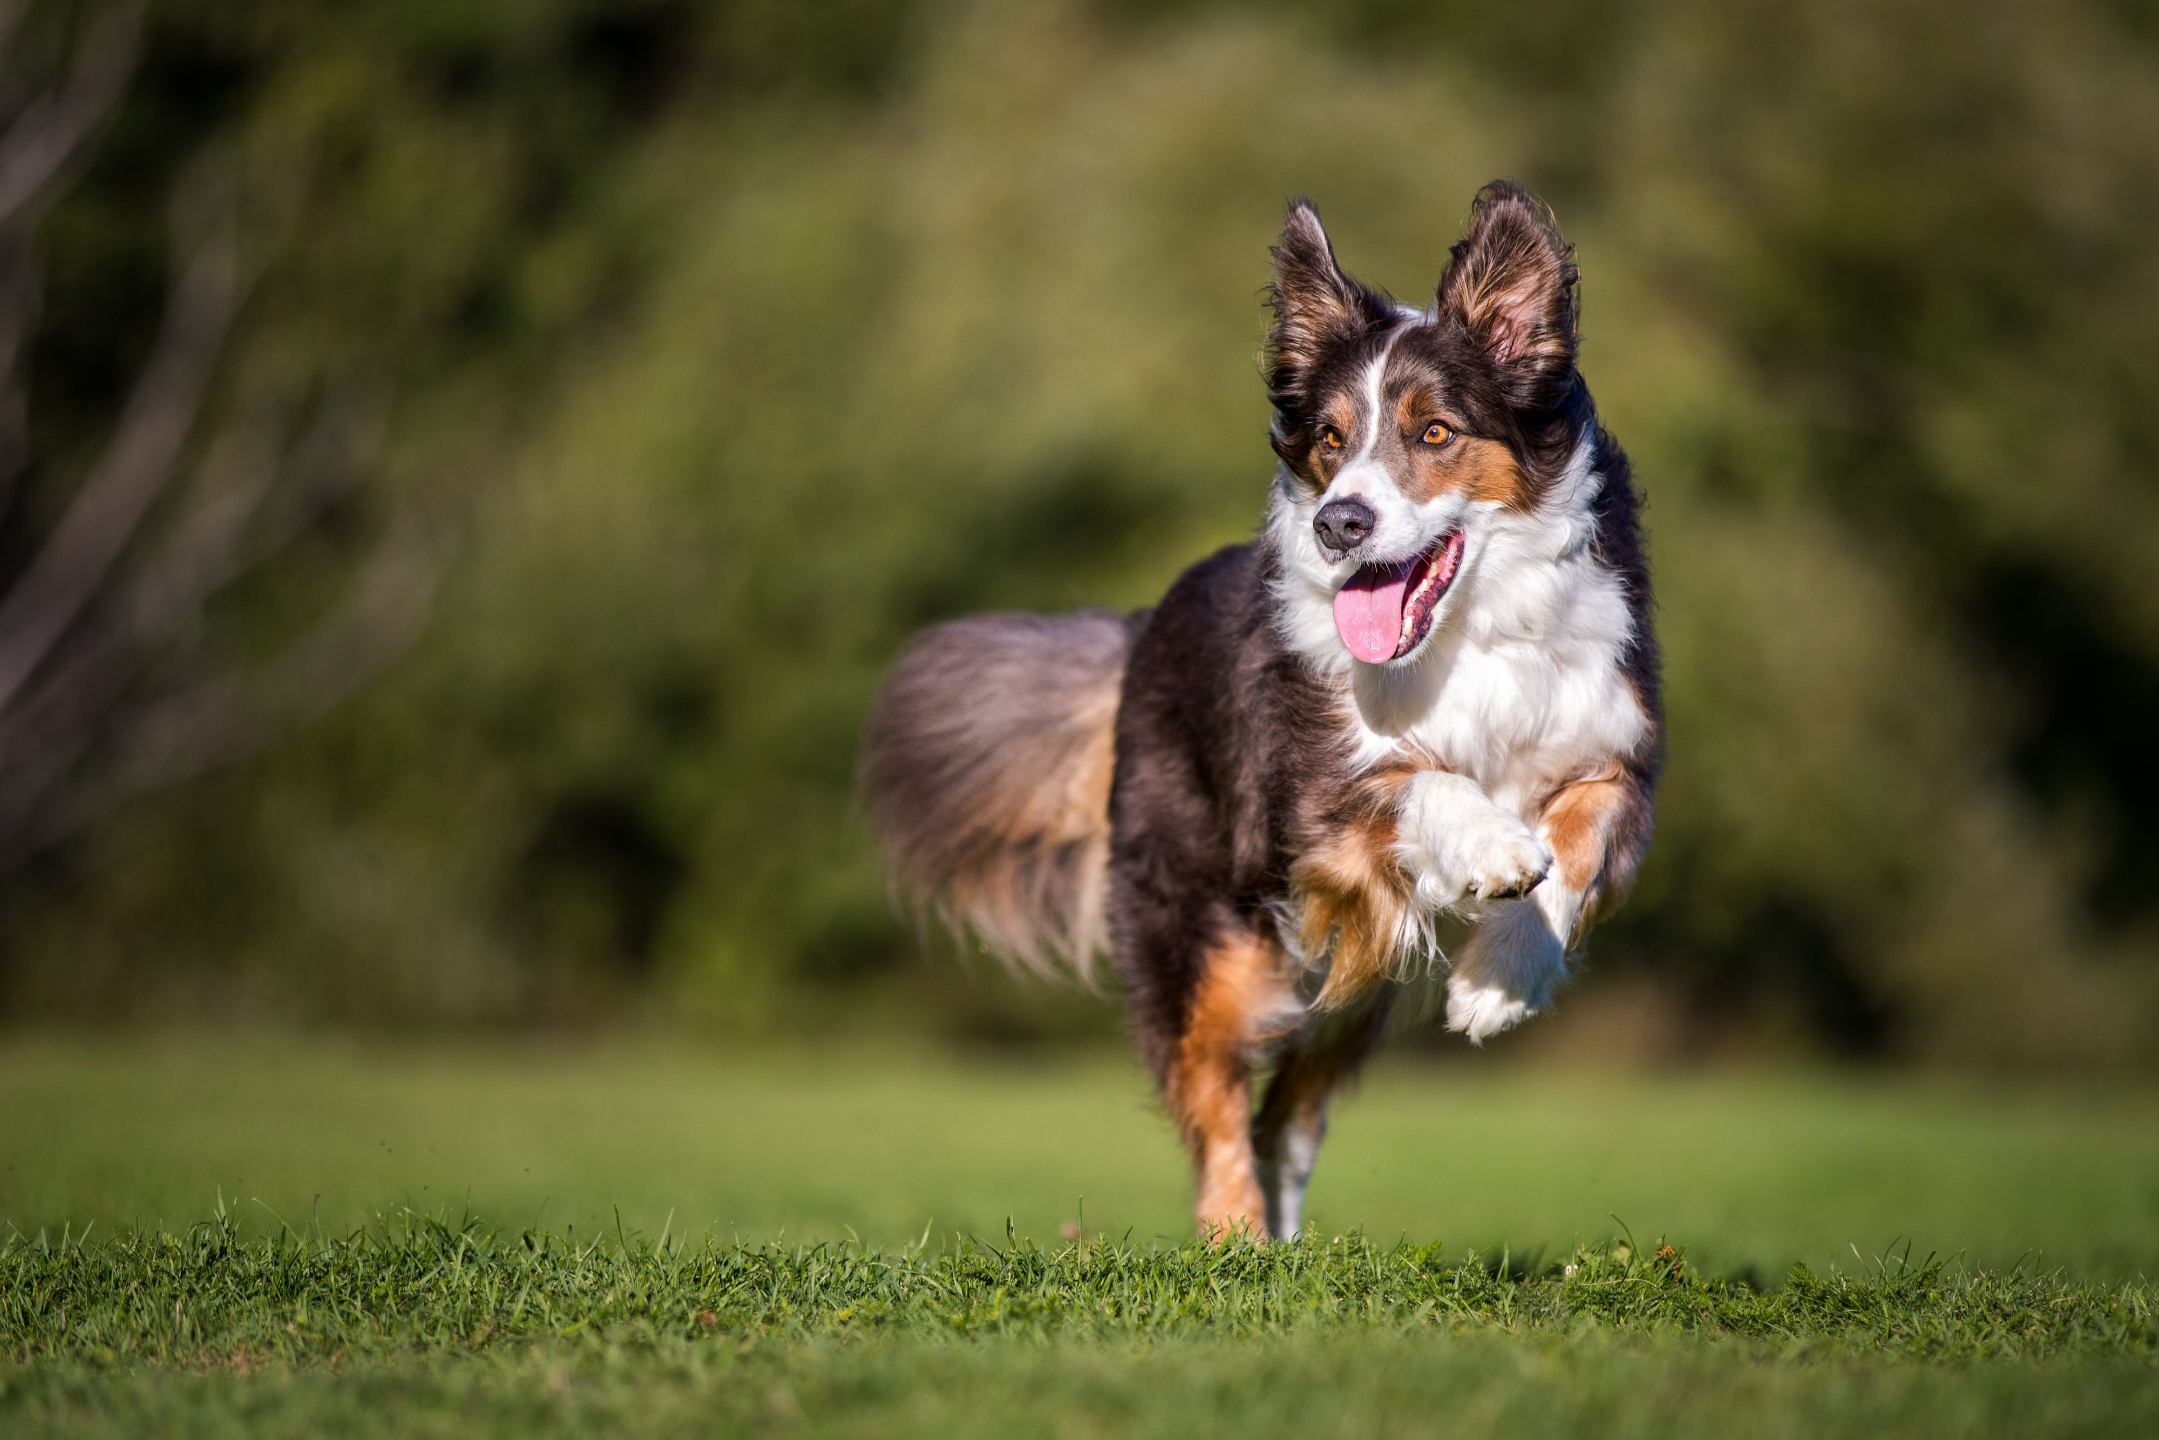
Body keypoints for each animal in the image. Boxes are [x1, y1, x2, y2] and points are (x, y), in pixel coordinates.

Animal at [863, 182, 1662, 1241]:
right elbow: (1417, 779)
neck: (1468, 633)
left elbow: (1576, 841)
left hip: (1345, 987)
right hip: (1205, 932)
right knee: (1215, 1098)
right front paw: (1493, 848)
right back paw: (1235, 1241)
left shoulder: (1615, 743)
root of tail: (1143, 625)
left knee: (1287, 1111)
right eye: (1328, 439)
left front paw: (1500, 984)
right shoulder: (1311, 799)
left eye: (1435, 433)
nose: (1339, 524)